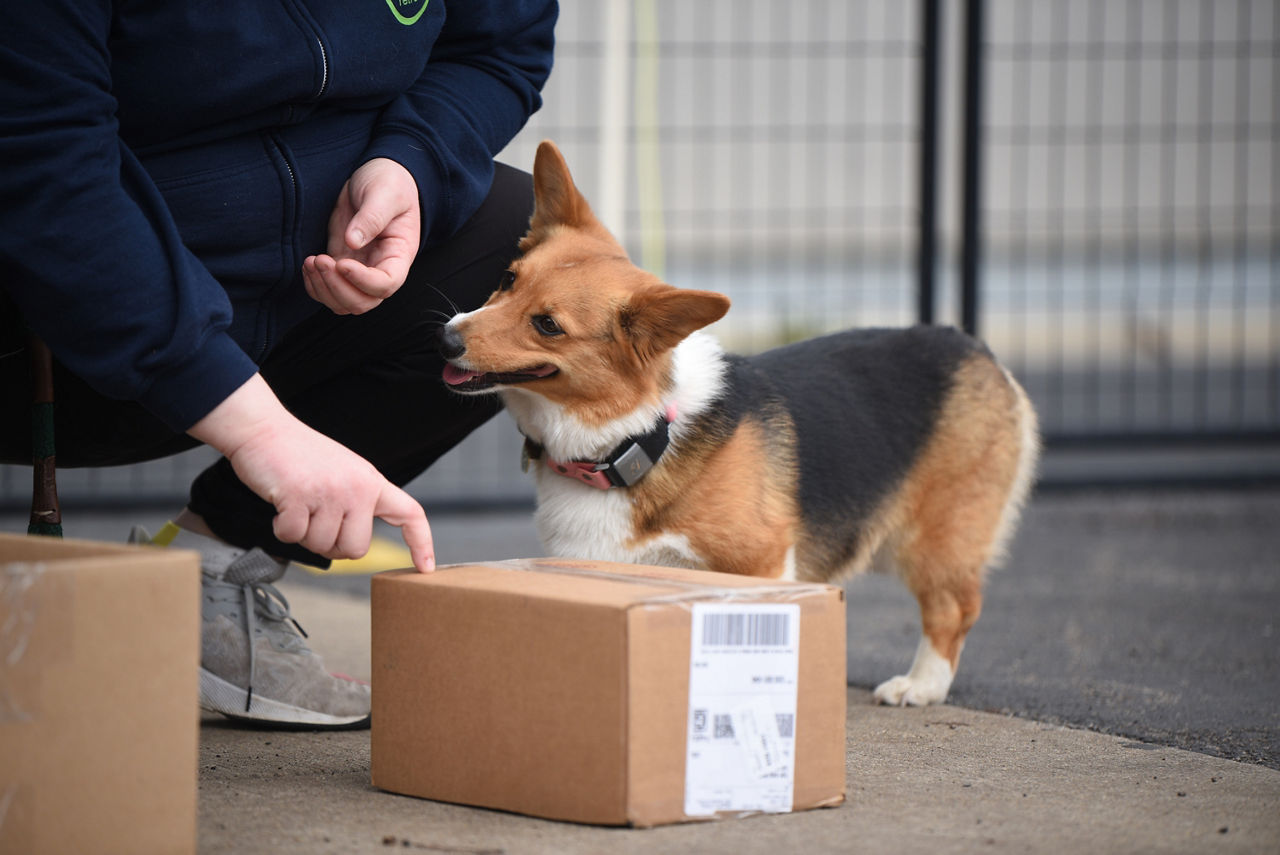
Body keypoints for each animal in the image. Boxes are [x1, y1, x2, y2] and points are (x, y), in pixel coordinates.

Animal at [442, 138, 1039, 701]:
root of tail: (971, 344)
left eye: (548, 325)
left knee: (954, 607)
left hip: (938, 537)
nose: (445, 338)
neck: (637, 437)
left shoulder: (761, 564)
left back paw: (921, 685)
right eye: (507, 279)